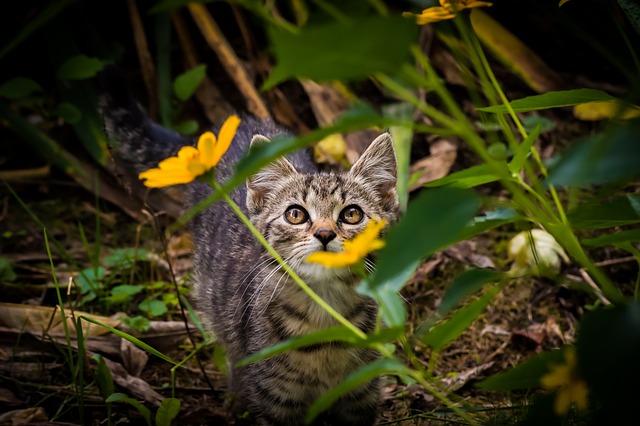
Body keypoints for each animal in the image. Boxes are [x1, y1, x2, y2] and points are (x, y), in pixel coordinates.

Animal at [99, 72, 398, 422]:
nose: (325, 234)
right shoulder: (275, 396)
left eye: (352, 214)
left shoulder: (361, 392)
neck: (324, 310)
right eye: (296, 214)